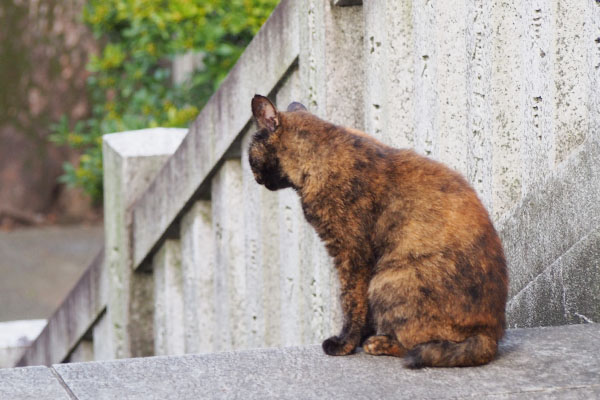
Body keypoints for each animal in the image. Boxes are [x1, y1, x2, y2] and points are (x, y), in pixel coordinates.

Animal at [248, 95, 506, 368]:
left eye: (250, 155)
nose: (255, 177)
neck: (319, 153)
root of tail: (490, 335)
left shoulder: (351, 253)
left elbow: (351, 301)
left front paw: (345, 343)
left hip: (387, 280)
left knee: (416, 344)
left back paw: (379, 343)